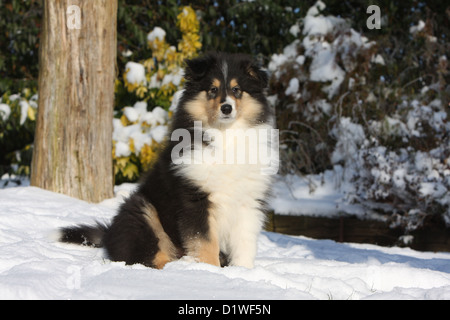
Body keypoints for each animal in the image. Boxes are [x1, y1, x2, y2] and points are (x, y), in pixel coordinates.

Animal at [59, 52, 278, 268]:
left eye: (237, 90)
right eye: (213, 89)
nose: (226, 108)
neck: (225, 135)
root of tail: (108, 236)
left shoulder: (248, 202)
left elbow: (244, 245)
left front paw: (243, 272)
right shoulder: (195, 199)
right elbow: (205, 242)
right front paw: (209, 271)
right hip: (143, 210)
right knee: (148, 257)